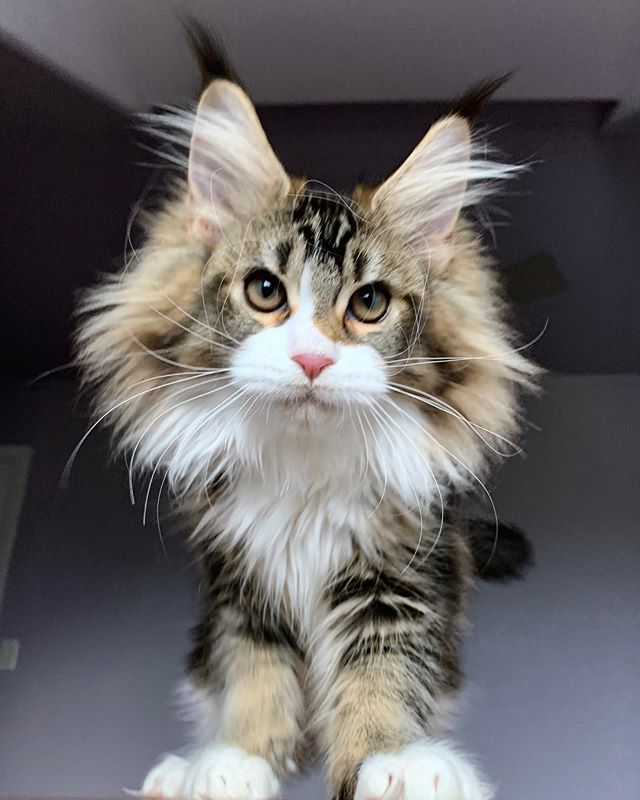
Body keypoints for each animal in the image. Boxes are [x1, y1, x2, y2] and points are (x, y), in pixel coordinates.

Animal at [74, 28, 536, 800]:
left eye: (369, 303)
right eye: (265, 291)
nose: (313, 360)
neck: (304, 472)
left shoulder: (398, 580)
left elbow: (381, 677)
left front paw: (395, 762)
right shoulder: (241, 585)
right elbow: (254, 677)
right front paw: (235, 761)